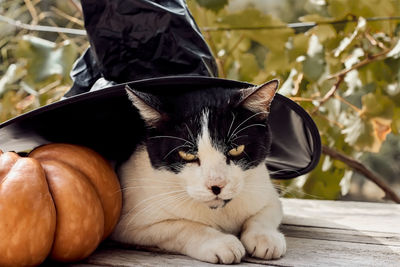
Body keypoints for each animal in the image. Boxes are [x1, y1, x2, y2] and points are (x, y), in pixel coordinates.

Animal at [111, 80, 288, 264]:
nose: (216, 185)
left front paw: (265, 237)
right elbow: (181, 226)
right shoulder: (130, 222)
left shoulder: (267, 193)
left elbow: (264, 214)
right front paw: (220, 242)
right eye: (187, 154)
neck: (219, 212)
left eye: (236, 149)